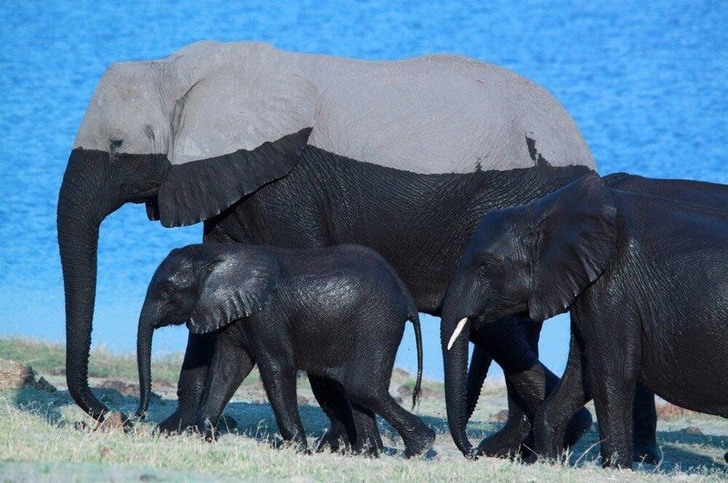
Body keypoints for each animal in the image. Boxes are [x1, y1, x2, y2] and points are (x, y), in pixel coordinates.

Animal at [136, 244, 432, 460]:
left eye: (167, 291)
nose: (139, 416)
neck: (219, 254)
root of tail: (405, 294)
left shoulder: (267, 315)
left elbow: (276, 369)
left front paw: (300, 450)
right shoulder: (237, 313)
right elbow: (228, 368)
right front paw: (206, 435)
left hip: (377, 324)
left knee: (362, 387)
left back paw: (422, 448)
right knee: (357, 389)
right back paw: (365, 454)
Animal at [440, 173, 728, 468]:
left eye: (485, 265)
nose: (475, 452)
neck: (542, 210)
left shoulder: (613, 287)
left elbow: (610, 372)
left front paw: (616, 468)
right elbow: (583, 374)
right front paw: (548, 462)